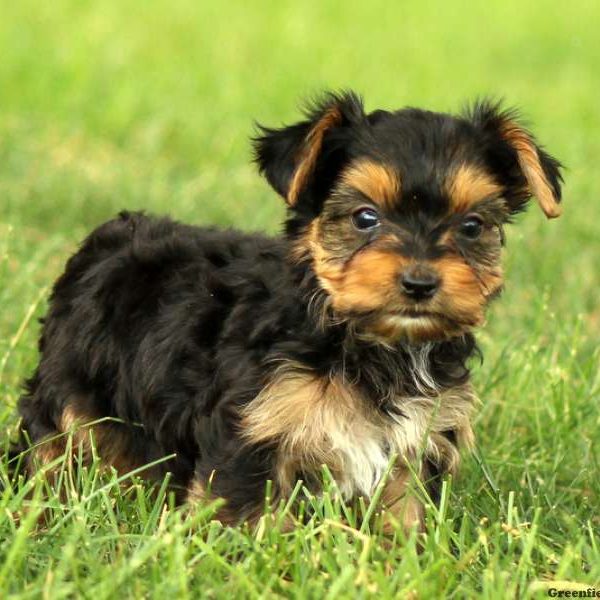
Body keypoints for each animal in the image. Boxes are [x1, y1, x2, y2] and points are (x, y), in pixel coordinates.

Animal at [12, 91, 564, 532]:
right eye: (365, 218)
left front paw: (403, 558)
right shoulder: (254, 426)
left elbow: (402, 512)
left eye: (472, 227)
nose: (420, 282)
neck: (366, 340)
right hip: (69, 386)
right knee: (55, 442)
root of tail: (109, 235)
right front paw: (240, 561)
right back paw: (40, 508)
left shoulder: (418, 435)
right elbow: (241, 510)